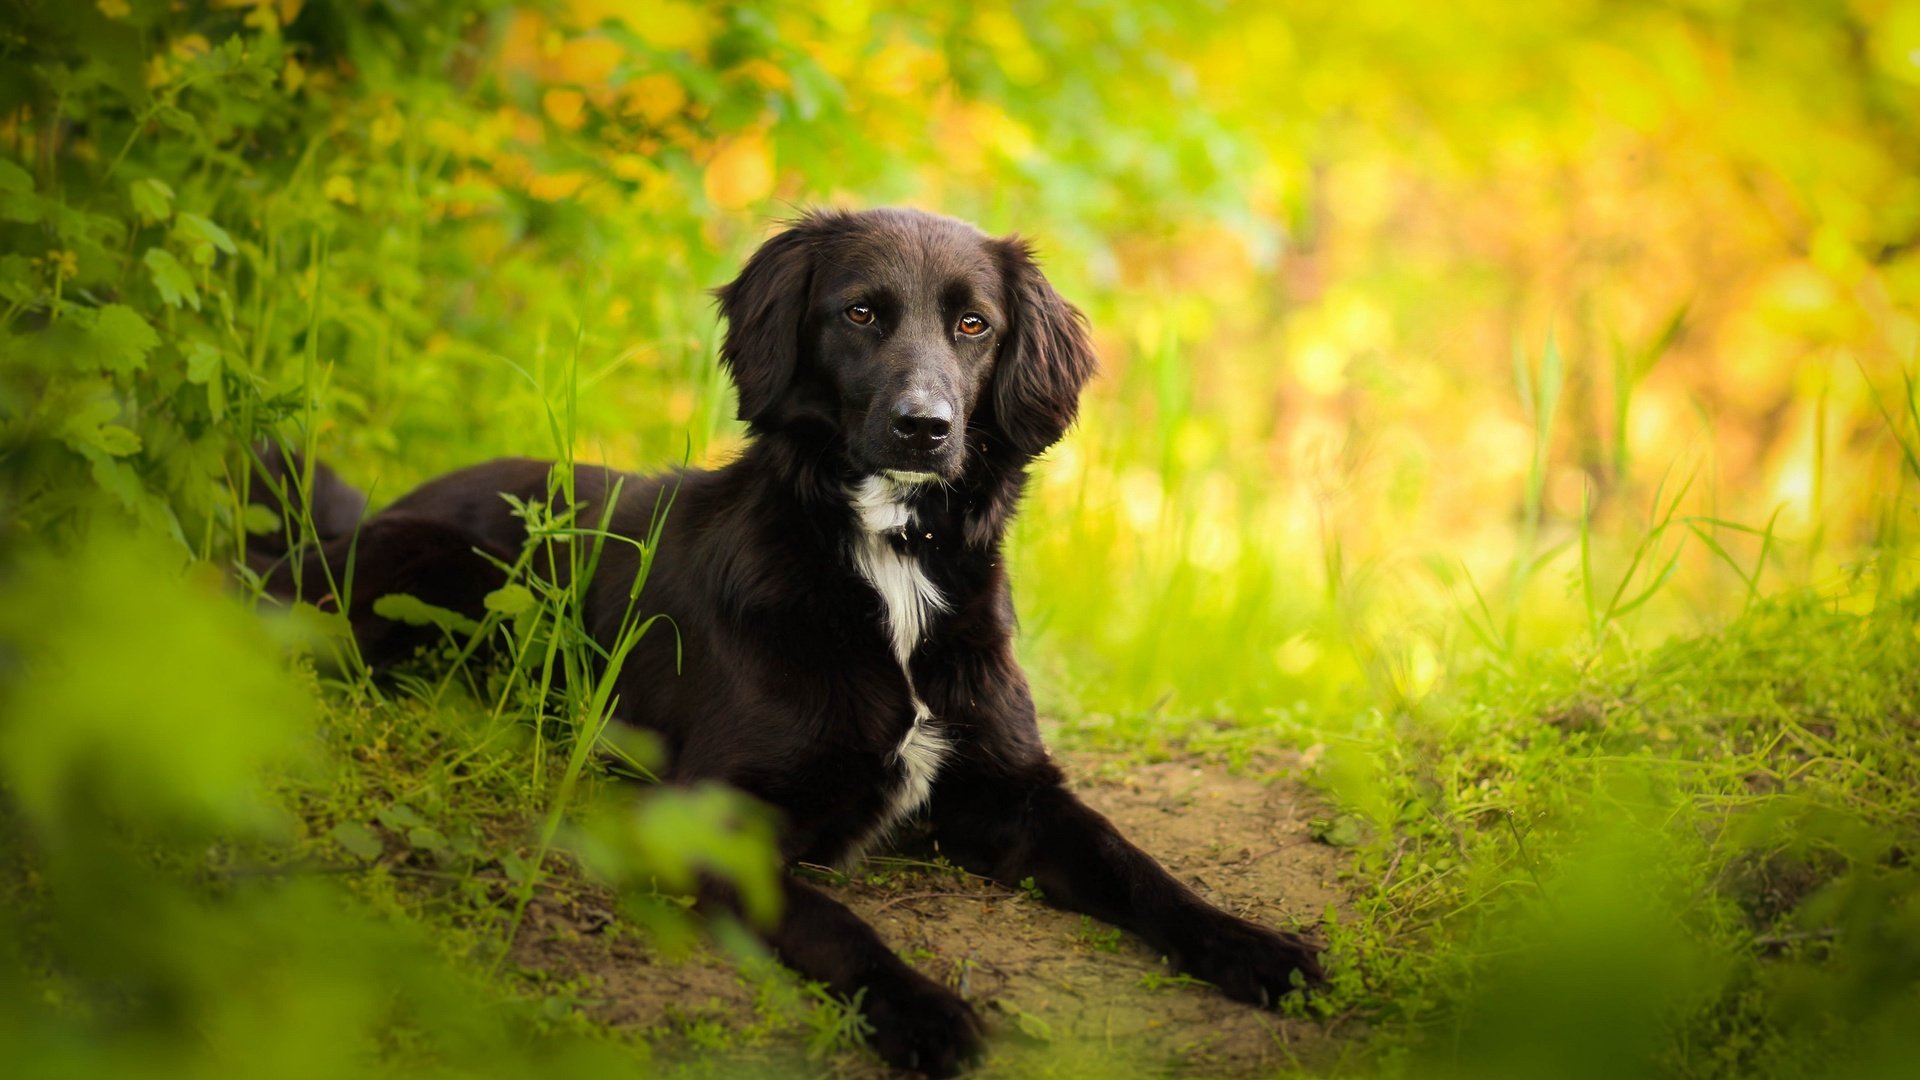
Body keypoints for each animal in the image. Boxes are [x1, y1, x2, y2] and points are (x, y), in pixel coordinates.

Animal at [259, 208, 1320, 1068]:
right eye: (860, 314)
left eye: (974, 325)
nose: (925, 427)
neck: (883, 564)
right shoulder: (709, 816)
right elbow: (835, 924)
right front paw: (925, 1011)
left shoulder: (1013, 792)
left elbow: (1138, 867)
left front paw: (1256, 947)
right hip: (443, 564)